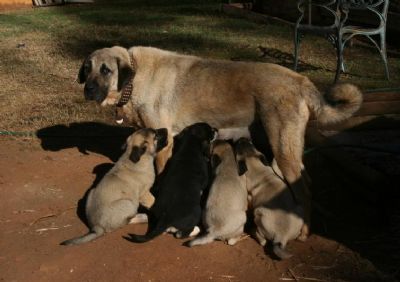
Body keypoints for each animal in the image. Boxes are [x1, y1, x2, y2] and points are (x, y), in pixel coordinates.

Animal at [77, 45, 362, 238]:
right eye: (87, 69)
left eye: (106, 70)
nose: (88, 90)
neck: (135, 77)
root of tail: (302, 80)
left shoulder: (164, 144)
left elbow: (160, 179)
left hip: (283, 148)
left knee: (304, 188)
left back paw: (303, 231)